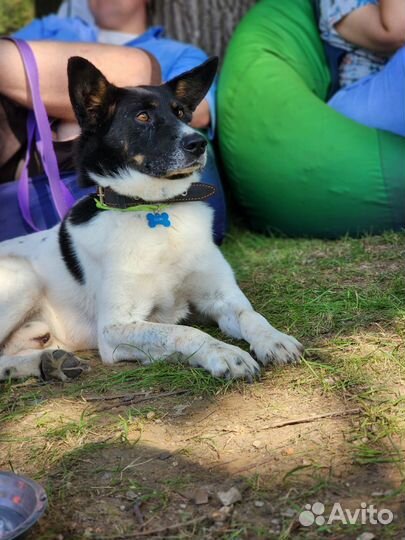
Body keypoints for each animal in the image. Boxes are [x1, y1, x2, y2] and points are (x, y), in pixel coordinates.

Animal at [0, 57, 304, 382]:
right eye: (142, 117)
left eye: (181, 113)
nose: (198, 143)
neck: (156, 209)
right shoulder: (115, 329)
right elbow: (183, 332)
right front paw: (226, 354)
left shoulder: (220, 296)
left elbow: (250, 314)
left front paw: (274, 339)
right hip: (22, 279)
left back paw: (48, 362)